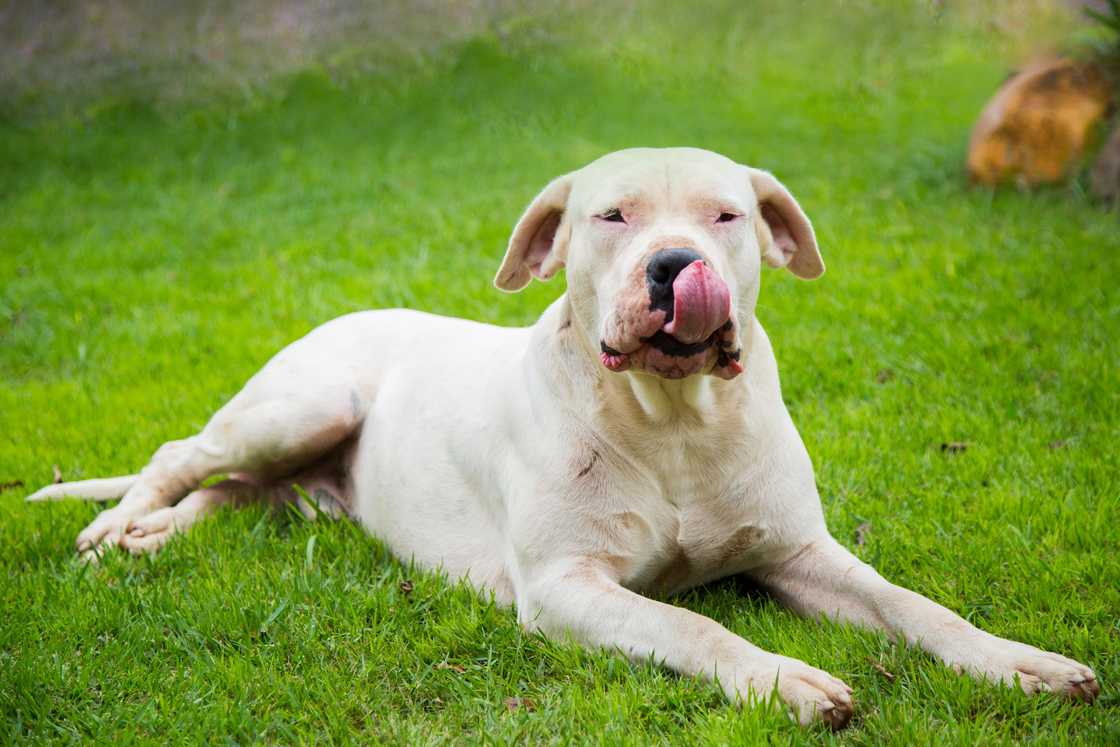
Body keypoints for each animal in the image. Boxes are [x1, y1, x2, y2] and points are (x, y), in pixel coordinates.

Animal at [30, 147, 1097, 730]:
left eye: (729, 214)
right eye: (610, 215)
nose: (676, 263)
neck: (674, 421)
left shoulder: (801, 550)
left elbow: (918, 607)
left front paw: (1021, 662)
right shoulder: (566, 588)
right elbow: (694, 625)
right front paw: (783, 678)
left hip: (294, 461)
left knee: (233, 498)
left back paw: (151, 538)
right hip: (304, 403)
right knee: (178, 458)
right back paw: (112, 530)